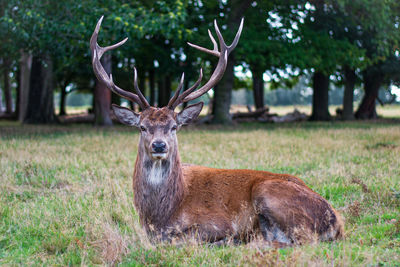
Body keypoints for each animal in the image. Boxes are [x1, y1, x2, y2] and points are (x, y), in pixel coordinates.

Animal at [90, 16, 344, 247]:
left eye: (174, 126)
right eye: (142, 127)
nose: (159, 145)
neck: (162, 214)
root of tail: (337, 223)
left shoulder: (218, 222)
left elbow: (182, 238)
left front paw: (224, 241)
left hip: (269, 192)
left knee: (301, 240)